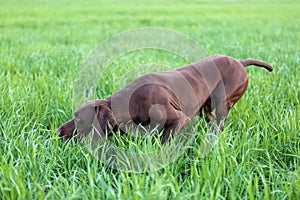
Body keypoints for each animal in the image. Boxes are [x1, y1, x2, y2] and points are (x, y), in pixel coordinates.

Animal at [57, 55, 274, 144]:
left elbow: (164, 142)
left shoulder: (178, 119)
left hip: (222, 102)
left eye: (78, 117)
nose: (57, 131)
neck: (132, 101)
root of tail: (239, 62)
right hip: (207, 107)